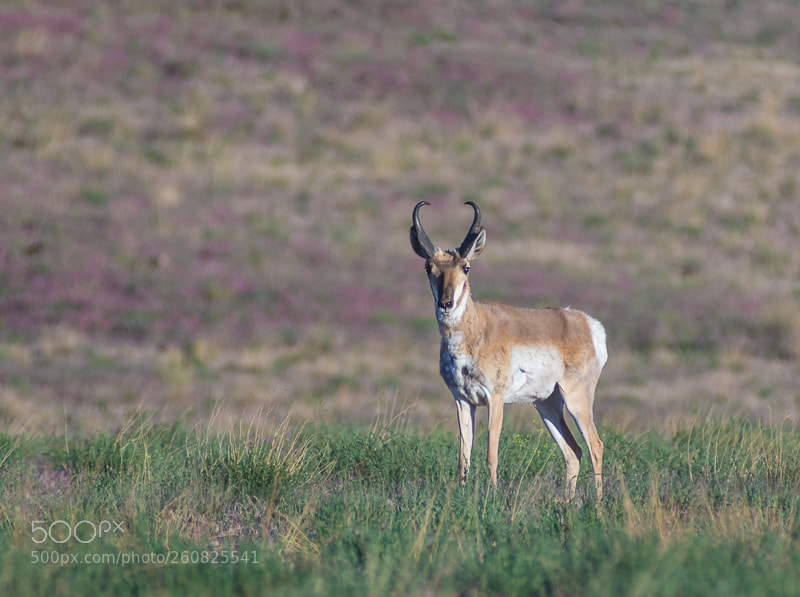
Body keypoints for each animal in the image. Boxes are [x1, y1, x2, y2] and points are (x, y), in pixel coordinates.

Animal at [410, 201, 607, 500]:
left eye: (466, 267)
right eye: (427, 266)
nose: (446, 303)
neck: (475, 329)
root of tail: (586, 323)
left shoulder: (495, 399)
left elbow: (491, 454)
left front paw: (491, 496)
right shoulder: (463, 401)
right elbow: (463, 456)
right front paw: (463, 494)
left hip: (576, 401)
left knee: (595, 446)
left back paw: (596, 503)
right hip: (547, 404)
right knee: (573, 451)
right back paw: (568, 502)